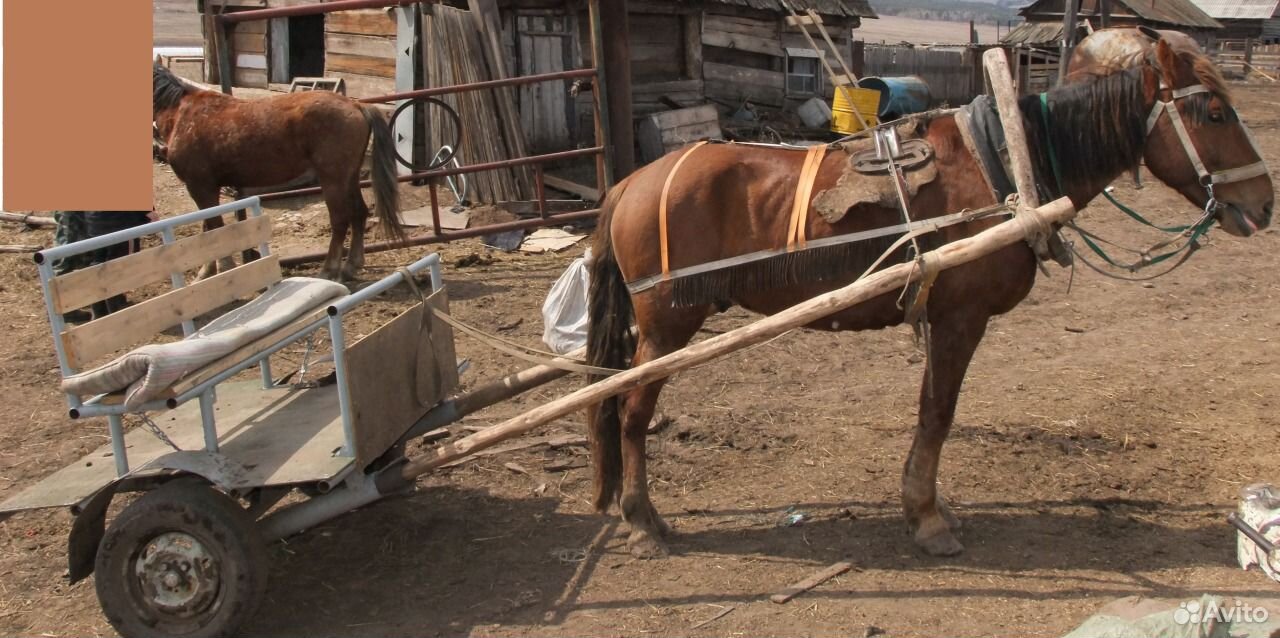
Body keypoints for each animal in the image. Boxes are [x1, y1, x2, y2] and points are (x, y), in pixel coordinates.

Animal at [154, 63, 404, 280]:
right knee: (359, 213)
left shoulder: (200, 186)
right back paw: (352, 265)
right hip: (349, 177)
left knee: (340, 220)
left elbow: (214, 227)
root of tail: (356, 106)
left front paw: (219, 269)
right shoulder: (205, 186)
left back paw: (329, 269)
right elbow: (208, 227)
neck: (181, 114)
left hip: (333, 179)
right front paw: (208, 271)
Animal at [586, 36, 1274, 558]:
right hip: (667, 327)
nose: (1264, 203)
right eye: (1215, 113)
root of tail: (630, 183)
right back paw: (641, 520)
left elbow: (932, 414)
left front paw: (926, 507)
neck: (1005, 163)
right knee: (631, 411)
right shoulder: (959, 318)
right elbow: (938, 414)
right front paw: (926, 517)